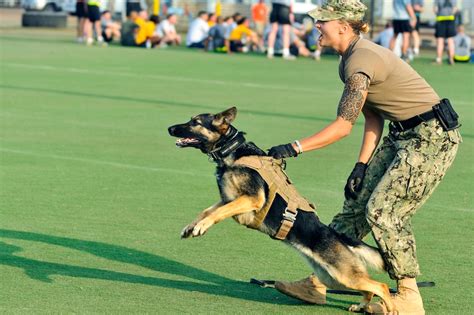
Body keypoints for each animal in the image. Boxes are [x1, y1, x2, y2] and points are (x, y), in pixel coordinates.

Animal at [168, 108, 394, 314]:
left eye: (195, 122)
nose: (169, 128)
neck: (232, 150)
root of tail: (338, 236)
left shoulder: (251, 199)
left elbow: (216, 213)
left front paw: (201, 227)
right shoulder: (228, 199)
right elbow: (206, 211)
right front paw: (191, 227)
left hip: (344, 275)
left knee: (381, 287)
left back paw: (389, 308)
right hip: (333, 277)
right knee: (369, 288)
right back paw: (362, 305)